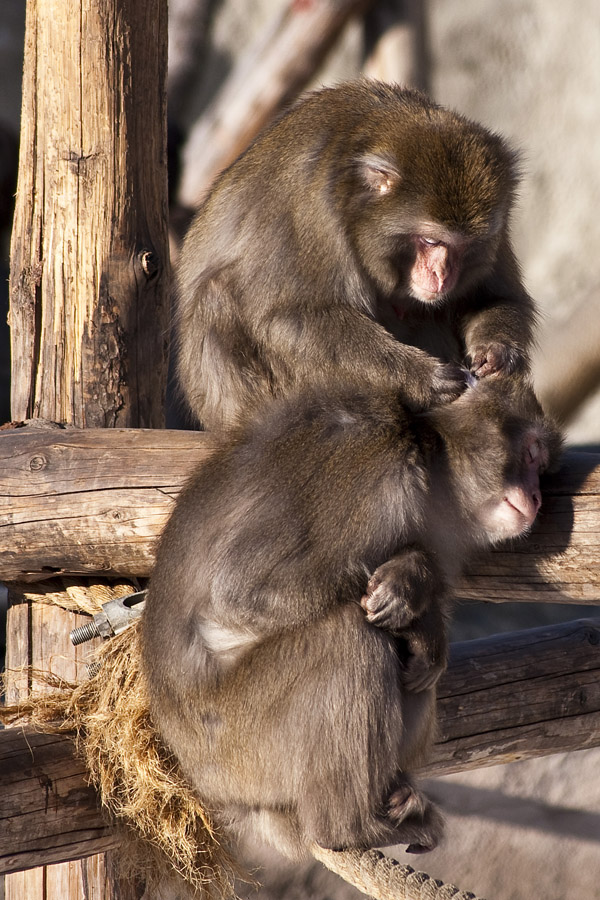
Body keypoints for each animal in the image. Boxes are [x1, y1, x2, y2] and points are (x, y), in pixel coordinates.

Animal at [142, 378, 564, 856]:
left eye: (542, 466)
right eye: (531, 454)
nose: (536, 497)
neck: (430, 462)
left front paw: (416, 590)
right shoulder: (370, 464)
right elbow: (242, 590)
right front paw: (417, 603)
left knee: (410, 671)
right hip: (238, 744)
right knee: (348, 636)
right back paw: (351, 827)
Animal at [173, 79, 536, 430]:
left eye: (465, 247)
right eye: (431, 241)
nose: (441, 276)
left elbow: (492, 298)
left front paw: (496, 351)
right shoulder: (310, 210)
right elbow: (290, 316)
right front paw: (422, 378)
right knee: (217, 294)